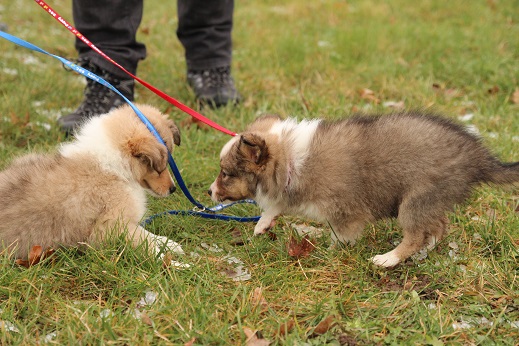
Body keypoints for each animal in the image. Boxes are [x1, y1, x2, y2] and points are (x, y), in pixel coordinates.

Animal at [0, 102, 185, 260]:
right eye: (160, 165)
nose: (173, 189)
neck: (116, 166)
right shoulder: (110, 226)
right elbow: (147, 245)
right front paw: (176, 265)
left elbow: (148, 235)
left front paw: (170, 244)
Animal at [209, 111, 519, 268]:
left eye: (226, 174)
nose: (210, 192)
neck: (290, 162)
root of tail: (478, 157)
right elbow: (278, 204)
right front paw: (263, 224)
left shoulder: (345, 210)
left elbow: (339, 234)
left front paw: (329, 249)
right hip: (430, 201)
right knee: (438, 226)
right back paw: (423, 253)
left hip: (415, 200)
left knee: (416, 234)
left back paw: (389, 259)